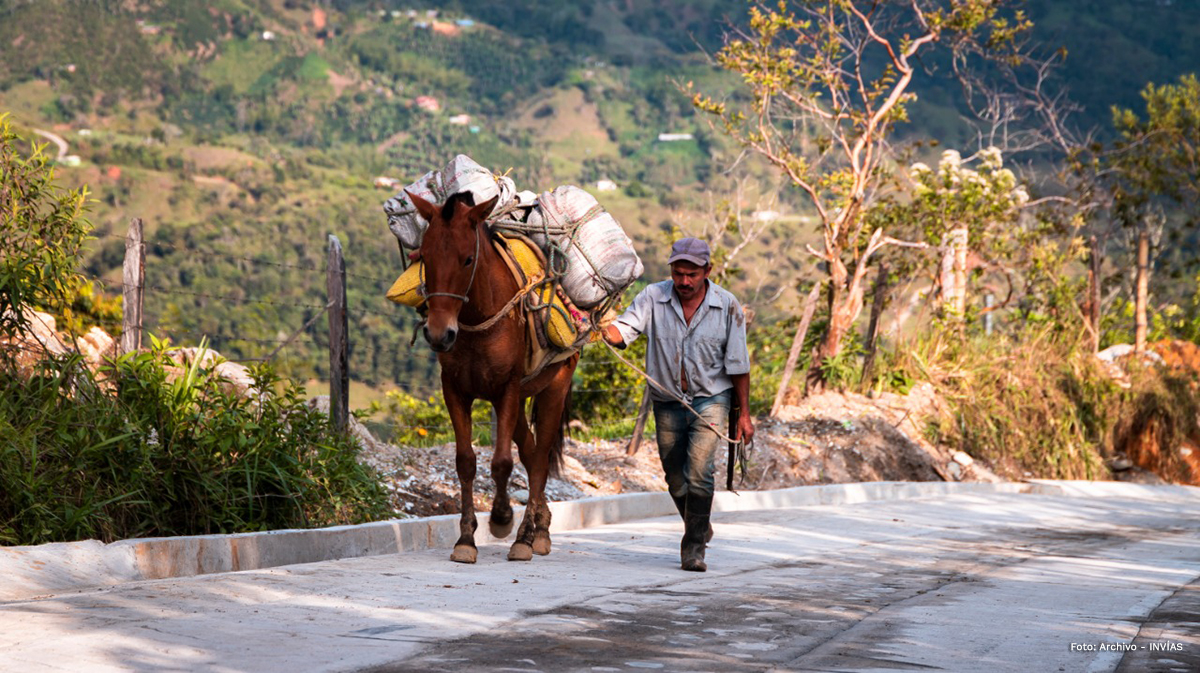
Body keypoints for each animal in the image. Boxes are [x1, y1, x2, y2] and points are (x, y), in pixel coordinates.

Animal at [410, 185, 578, 559]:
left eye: (467, 260)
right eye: (424, 257)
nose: (439, 334)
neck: (478, 321)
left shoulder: (507, 390)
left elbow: (502, 462)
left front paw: (501, 518)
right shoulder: (455, 391)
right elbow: (466, 461)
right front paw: (465, 539)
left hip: (553, 390)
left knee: (540, 458)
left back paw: (527, 537)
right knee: (531, 454)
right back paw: (539, 526)